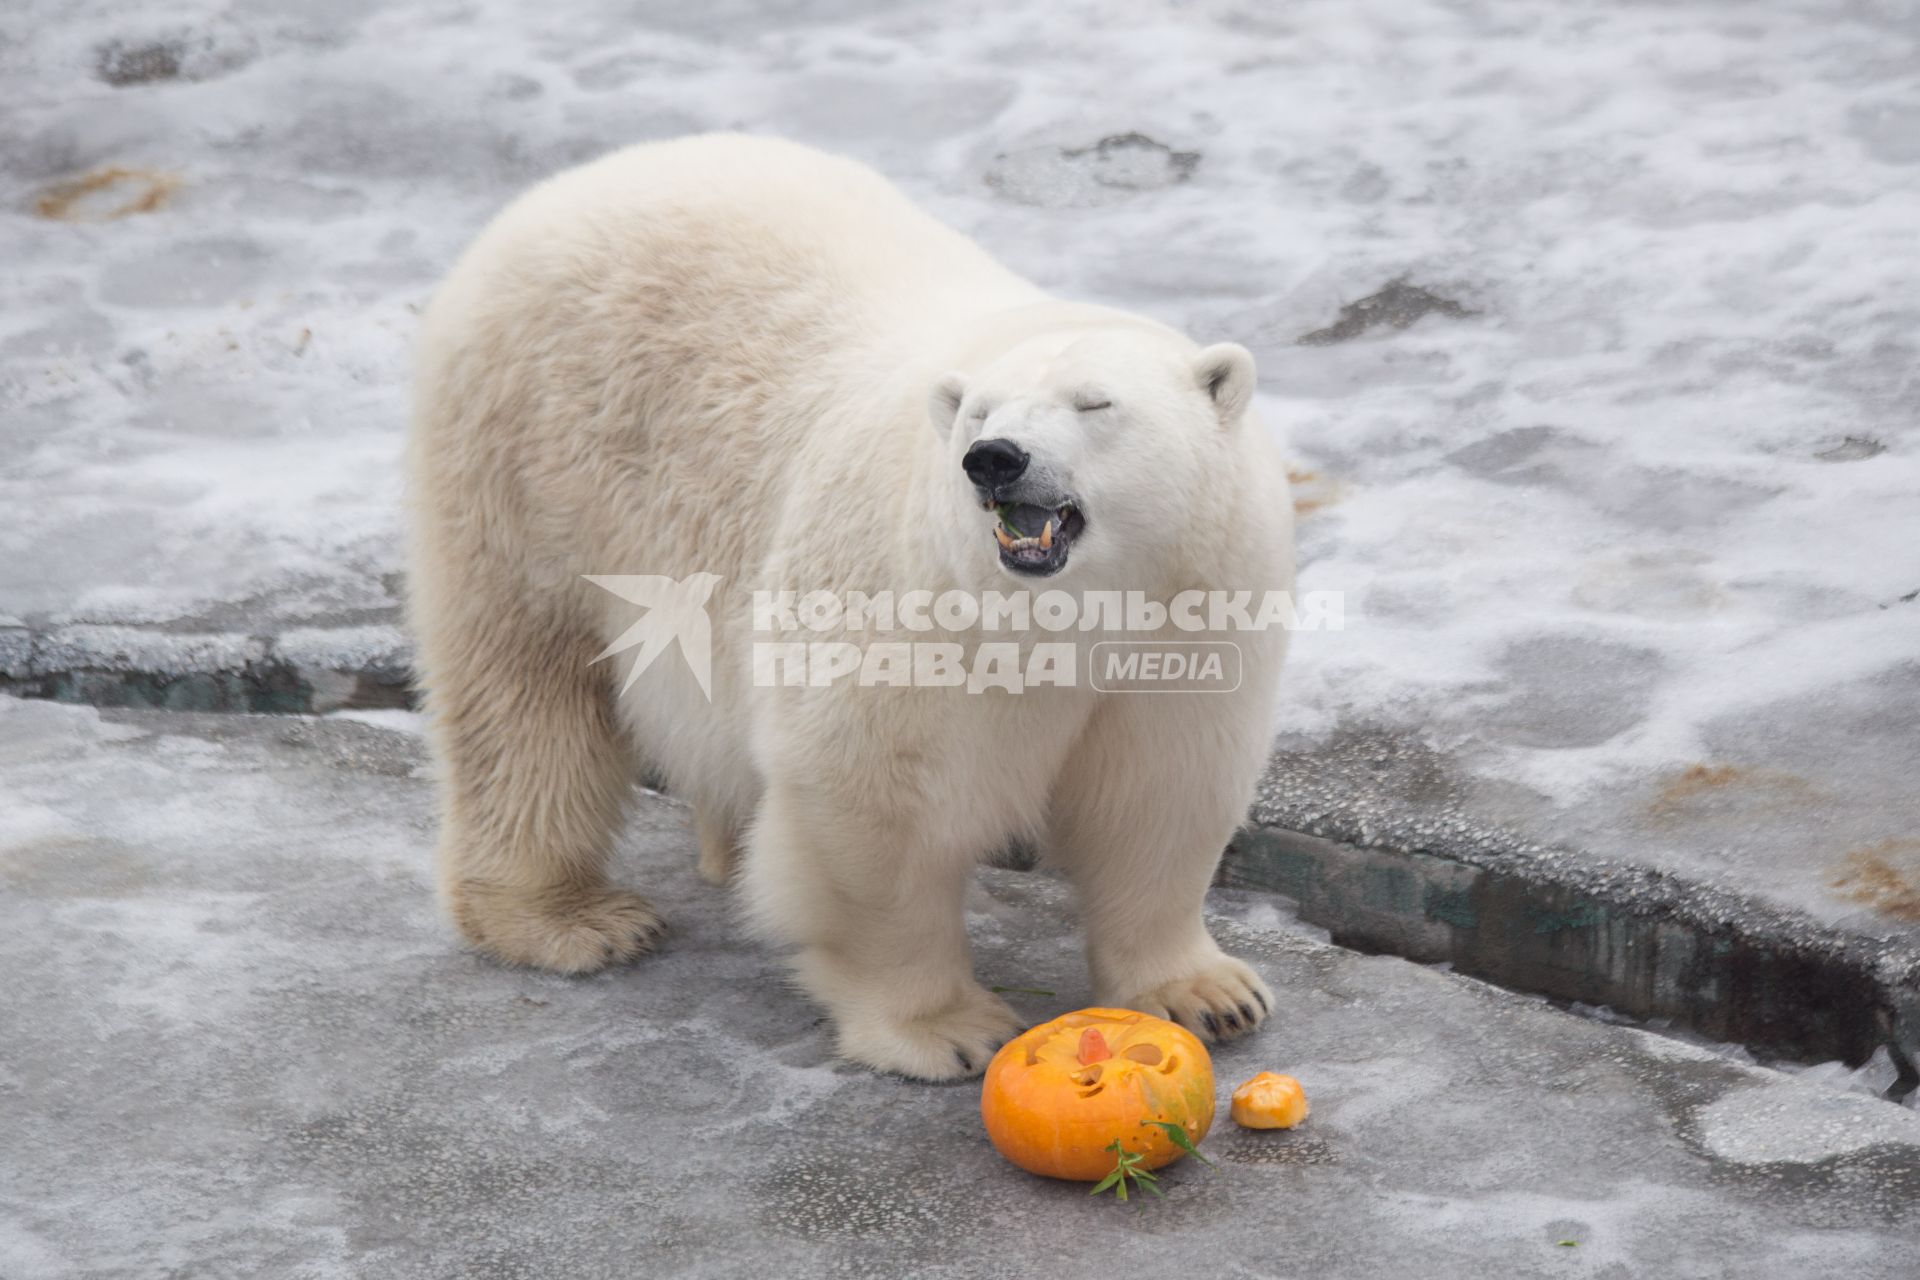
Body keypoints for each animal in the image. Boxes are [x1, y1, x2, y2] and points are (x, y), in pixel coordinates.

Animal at [405, 132, 1290, 1082]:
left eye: (1096, 402)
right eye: (979, 410)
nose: (995, 457)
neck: (1068, 607)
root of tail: (574, 186)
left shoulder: (1191, 611)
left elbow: (1162, 791)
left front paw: (1211, 994)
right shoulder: (909, 602)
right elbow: (879, 795)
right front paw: (947, 1029)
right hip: (533, 465)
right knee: (524, 691)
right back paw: (570, 918)